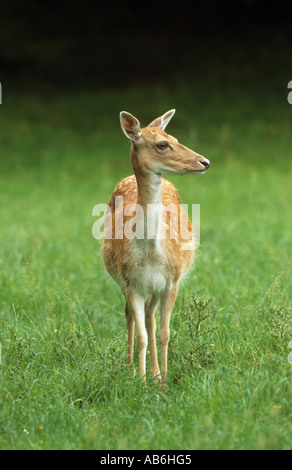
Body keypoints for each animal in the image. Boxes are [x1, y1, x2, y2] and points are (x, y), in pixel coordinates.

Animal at [102, 111, 210, 386]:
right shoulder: (131, 283)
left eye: (175, 138)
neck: (150, 253)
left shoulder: (172, 281)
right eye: (162, 144)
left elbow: (164, 333)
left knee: (150, 318)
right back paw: (131, 366)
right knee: (131, 315)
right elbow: (141, 334)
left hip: (157, 287)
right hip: (125, 282)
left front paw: (163, 381)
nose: (205, 162)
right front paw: (139, 381)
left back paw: (155, 372)